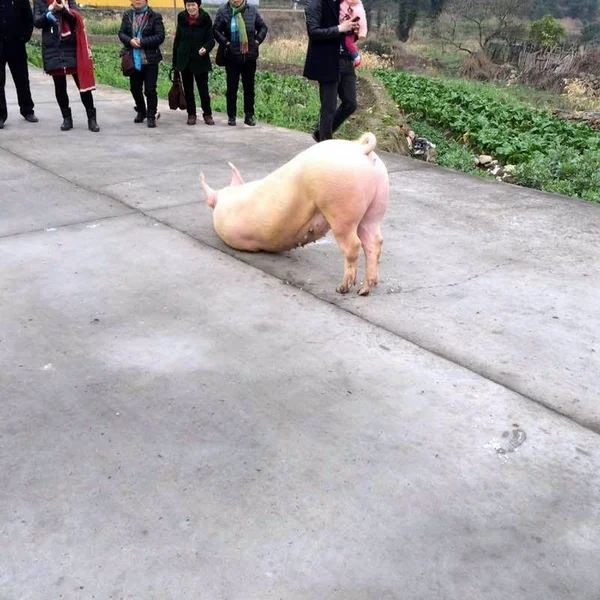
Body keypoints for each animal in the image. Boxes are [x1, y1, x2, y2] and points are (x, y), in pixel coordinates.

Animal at [199, 134, 392, 298]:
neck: (228, 198)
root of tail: (361, 149)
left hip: (340, 209)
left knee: (353, 245)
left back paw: (342, 289)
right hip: (375, 207)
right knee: (374, 241)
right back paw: (365, 290)